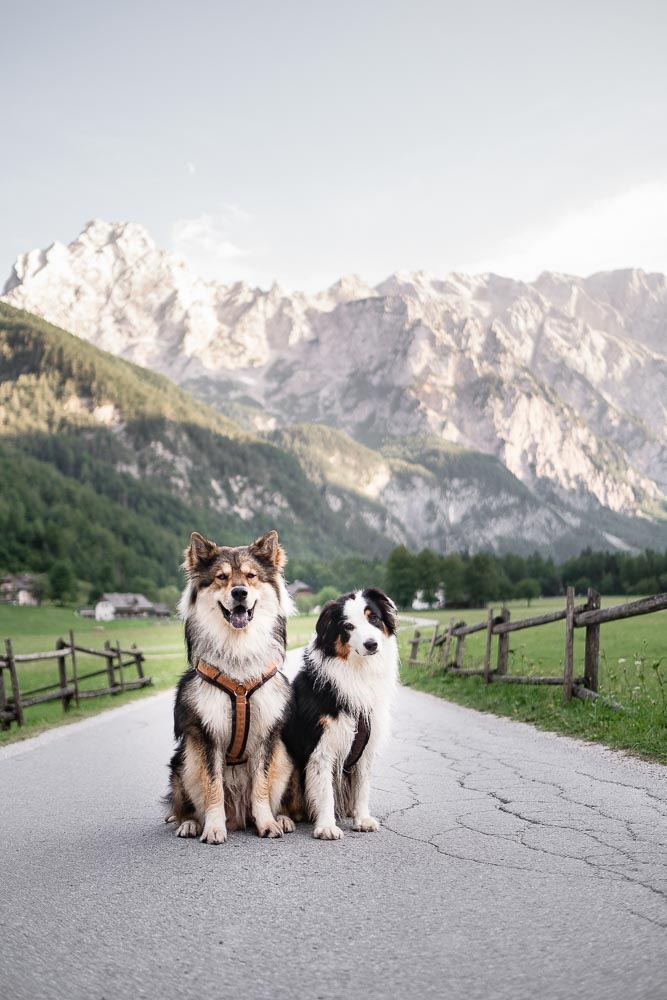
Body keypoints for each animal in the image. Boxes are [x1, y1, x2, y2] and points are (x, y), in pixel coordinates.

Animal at [165, 532, 294, 844]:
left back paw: (282, 818)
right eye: (221, 577)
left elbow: (261, 786)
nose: (239, 593)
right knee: (185, 805)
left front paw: (267, 823)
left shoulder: (265, 736)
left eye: (251, 576)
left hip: (284, 759)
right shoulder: (207, 735)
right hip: (185, 760)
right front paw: (213, 828)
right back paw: (190, 824)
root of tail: (237, 817)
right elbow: (213, 787)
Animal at [274, 588, 400, 840]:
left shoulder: (366, 748)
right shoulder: (321, 745)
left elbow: (362, 787)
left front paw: (362, 819)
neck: (357, 671)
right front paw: (326, 826)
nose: (371, 644)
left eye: (373, 618)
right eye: (348, 626)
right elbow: (325, 791)